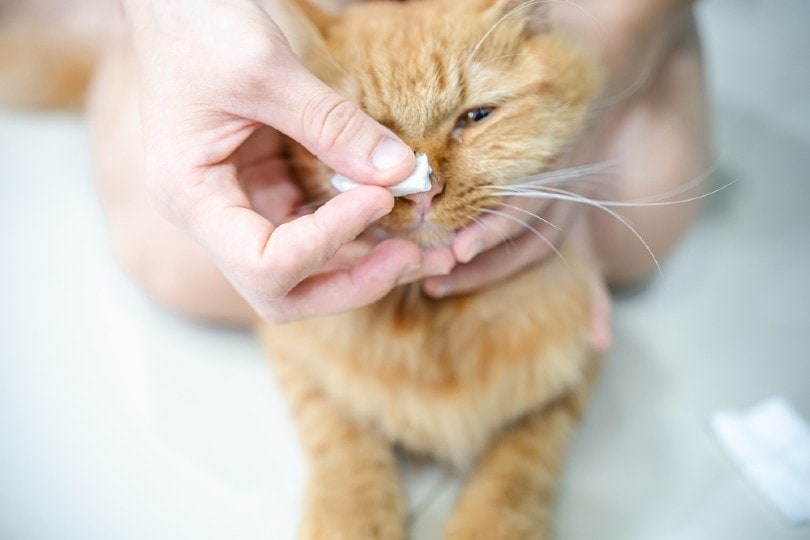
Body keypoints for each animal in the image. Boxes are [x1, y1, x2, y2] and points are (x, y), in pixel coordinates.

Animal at [258, 2, 600, 536]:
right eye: (372, 128)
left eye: (476, 117)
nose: (424, 193)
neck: (426, 322)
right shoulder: (295, 353)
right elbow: (346, 447)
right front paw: (352, 520)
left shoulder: (574, 373)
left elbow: (515, 473)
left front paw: (488, 526)